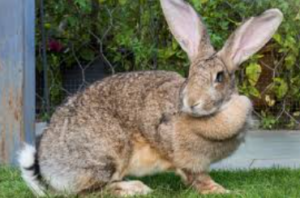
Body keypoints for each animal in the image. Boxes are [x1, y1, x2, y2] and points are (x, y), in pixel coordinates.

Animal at [18, 0, 282, 196]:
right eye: (189, 74)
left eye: (219, 77)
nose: (191, 102)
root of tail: (47, 166)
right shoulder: (181, 154)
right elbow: (197, 177)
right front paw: (222, 190)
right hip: (107, 154)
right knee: (89, 192)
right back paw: (135, 188)